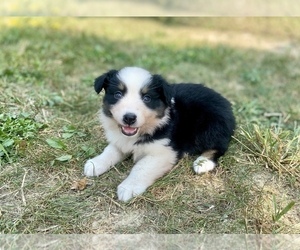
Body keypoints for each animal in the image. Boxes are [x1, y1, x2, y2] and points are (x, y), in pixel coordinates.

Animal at [83, 66, 236, 201]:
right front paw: (95, 164)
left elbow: (141, 167)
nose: (129, 118)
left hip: (211, 126)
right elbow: (111, 150)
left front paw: (129, 187)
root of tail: (226, 103)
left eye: (147, 98)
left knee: (218, 146)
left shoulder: (164, 152)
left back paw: (202, 162)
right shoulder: (120, 140)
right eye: (117, 94)